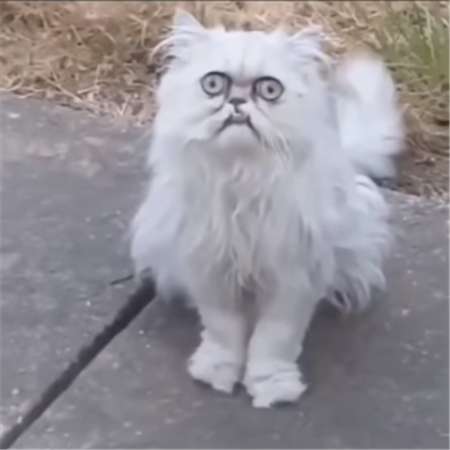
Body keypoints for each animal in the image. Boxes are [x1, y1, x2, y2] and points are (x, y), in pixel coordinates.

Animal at [130, 9, 404, 408]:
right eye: (213, 84)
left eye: (269, 90)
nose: (237, 102)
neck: (243, 179)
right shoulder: (210, 268)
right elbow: (224, 331)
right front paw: (217, 374)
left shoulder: (294, 276)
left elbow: (274, 340)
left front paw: (272, 387)